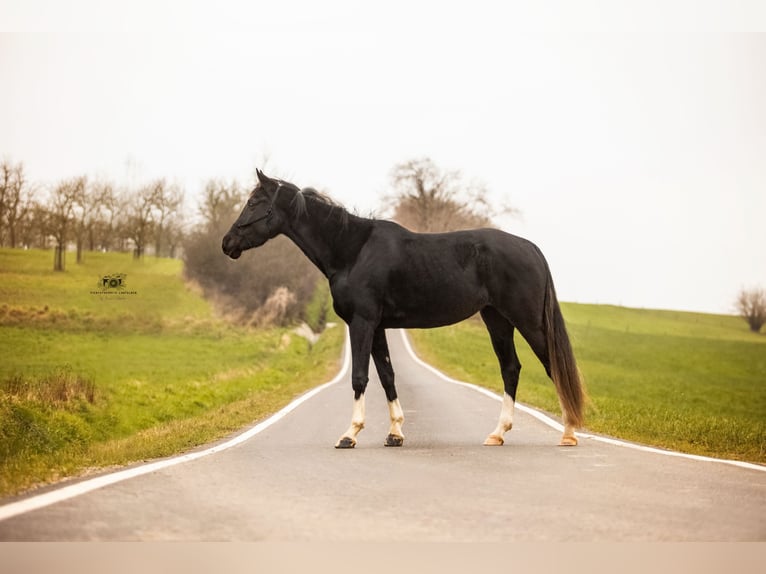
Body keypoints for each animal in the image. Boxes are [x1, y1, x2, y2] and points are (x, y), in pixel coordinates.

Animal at [224, 170, 588, 450]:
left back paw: (569, 434)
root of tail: (530, 247)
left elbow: (360, 377)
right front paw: (395, 433)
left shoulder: (362, 323)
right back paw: (498, 434)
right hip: (496, 319)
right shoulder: (378, 327)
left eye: (254, 203)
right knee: (510, 369)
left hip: (528, 321)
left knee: (552, 367)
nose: (227, 243)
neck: (352, 250)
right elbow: (387, 375)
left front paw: (349, 435)